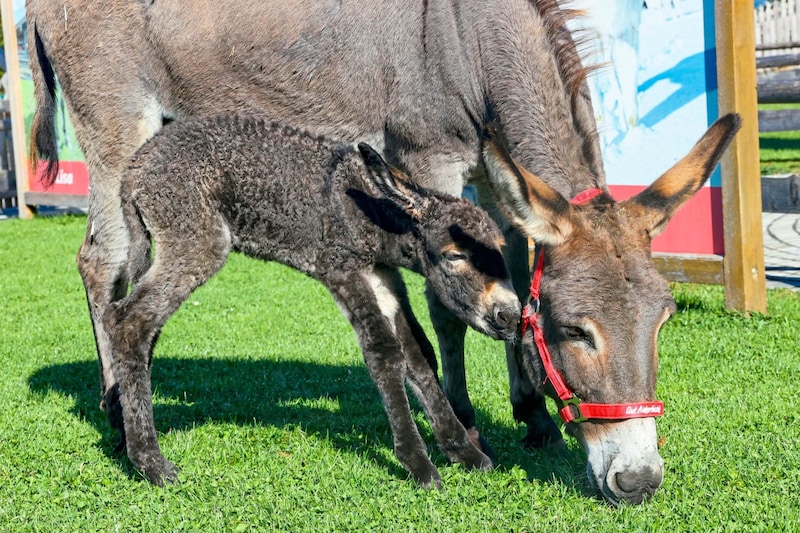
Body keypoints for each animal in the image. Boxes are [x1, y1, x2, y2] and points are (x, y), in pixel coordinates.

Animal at [106, 115, 520, 486]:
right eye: (455, 255)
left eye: (502, 252)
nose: (510, 316)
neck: (373, 211)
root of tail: (136, 165)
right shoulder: (342, 270)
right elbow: (384, 354)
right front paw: (418, 464)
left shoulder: (383, 275)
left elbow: (417, 355)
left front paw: (463, 451)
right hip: (197, 240)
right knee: (128, 323)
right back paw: (150, 463)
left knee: (141, 327)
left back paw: (126, 435)